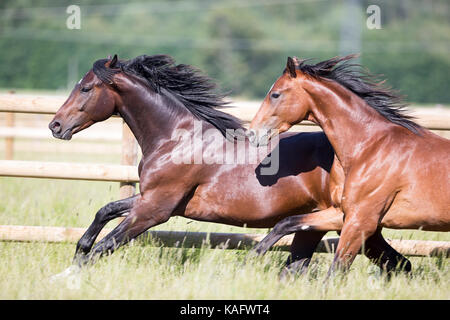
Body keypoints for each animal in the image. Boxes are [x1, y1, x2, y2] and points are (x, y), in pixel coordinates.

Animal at [49, 54, 412, 278]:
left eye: (85, 87)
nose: (55, 126)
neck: (177, 139)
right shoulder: (150, 199)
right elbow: (104, 212)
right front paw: (77, 253)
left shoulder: (155, 209)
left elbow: (108, 244)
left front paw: (66, 276)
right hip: (339, 224)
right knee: (397, 264)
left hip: (349, 222)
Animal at [248, 53, 448, 276]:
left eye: (275, 94)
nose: (252, 132)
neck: (369, 146)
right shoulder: (342, 213)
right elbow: (286, 223)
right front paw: (253, 257)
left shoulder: (360, 222)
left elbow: (335, 271)